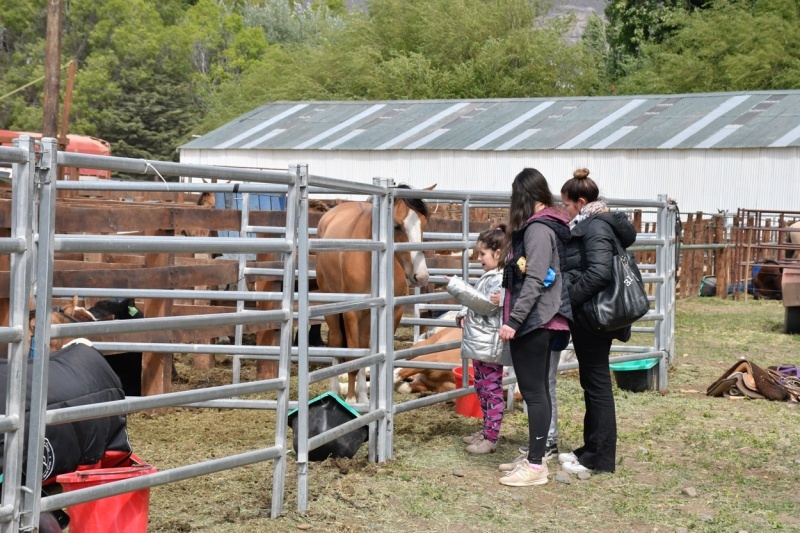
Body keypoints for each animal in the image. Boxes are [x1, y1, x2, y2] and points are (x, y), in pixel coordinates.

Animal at [316, 185, 434, 402]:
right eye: (396, 226)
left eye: (423, 223)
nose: (421, 276)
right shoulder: (351, 312)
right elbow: (353, 356)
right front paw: (351, 399)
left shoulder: (393, 311)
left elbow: (369, 354)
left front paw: (363, 398)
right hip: (331, 305)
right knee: (336, 341)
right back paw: (335, 390)